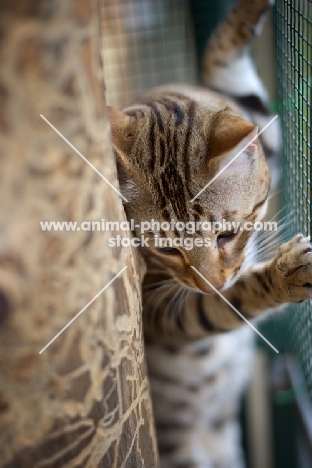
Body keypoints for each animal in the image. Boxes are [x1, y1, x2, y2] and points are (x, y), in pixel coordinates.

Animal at [108, 0, 310, 468]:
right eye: (165, 248)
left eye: (227, 234)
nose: (211, 283)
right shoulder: (164, 311)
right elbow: (228, 303)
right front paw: (286, 274)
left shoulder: (258, 127)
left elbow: (225, 67)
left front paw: (244, 17)